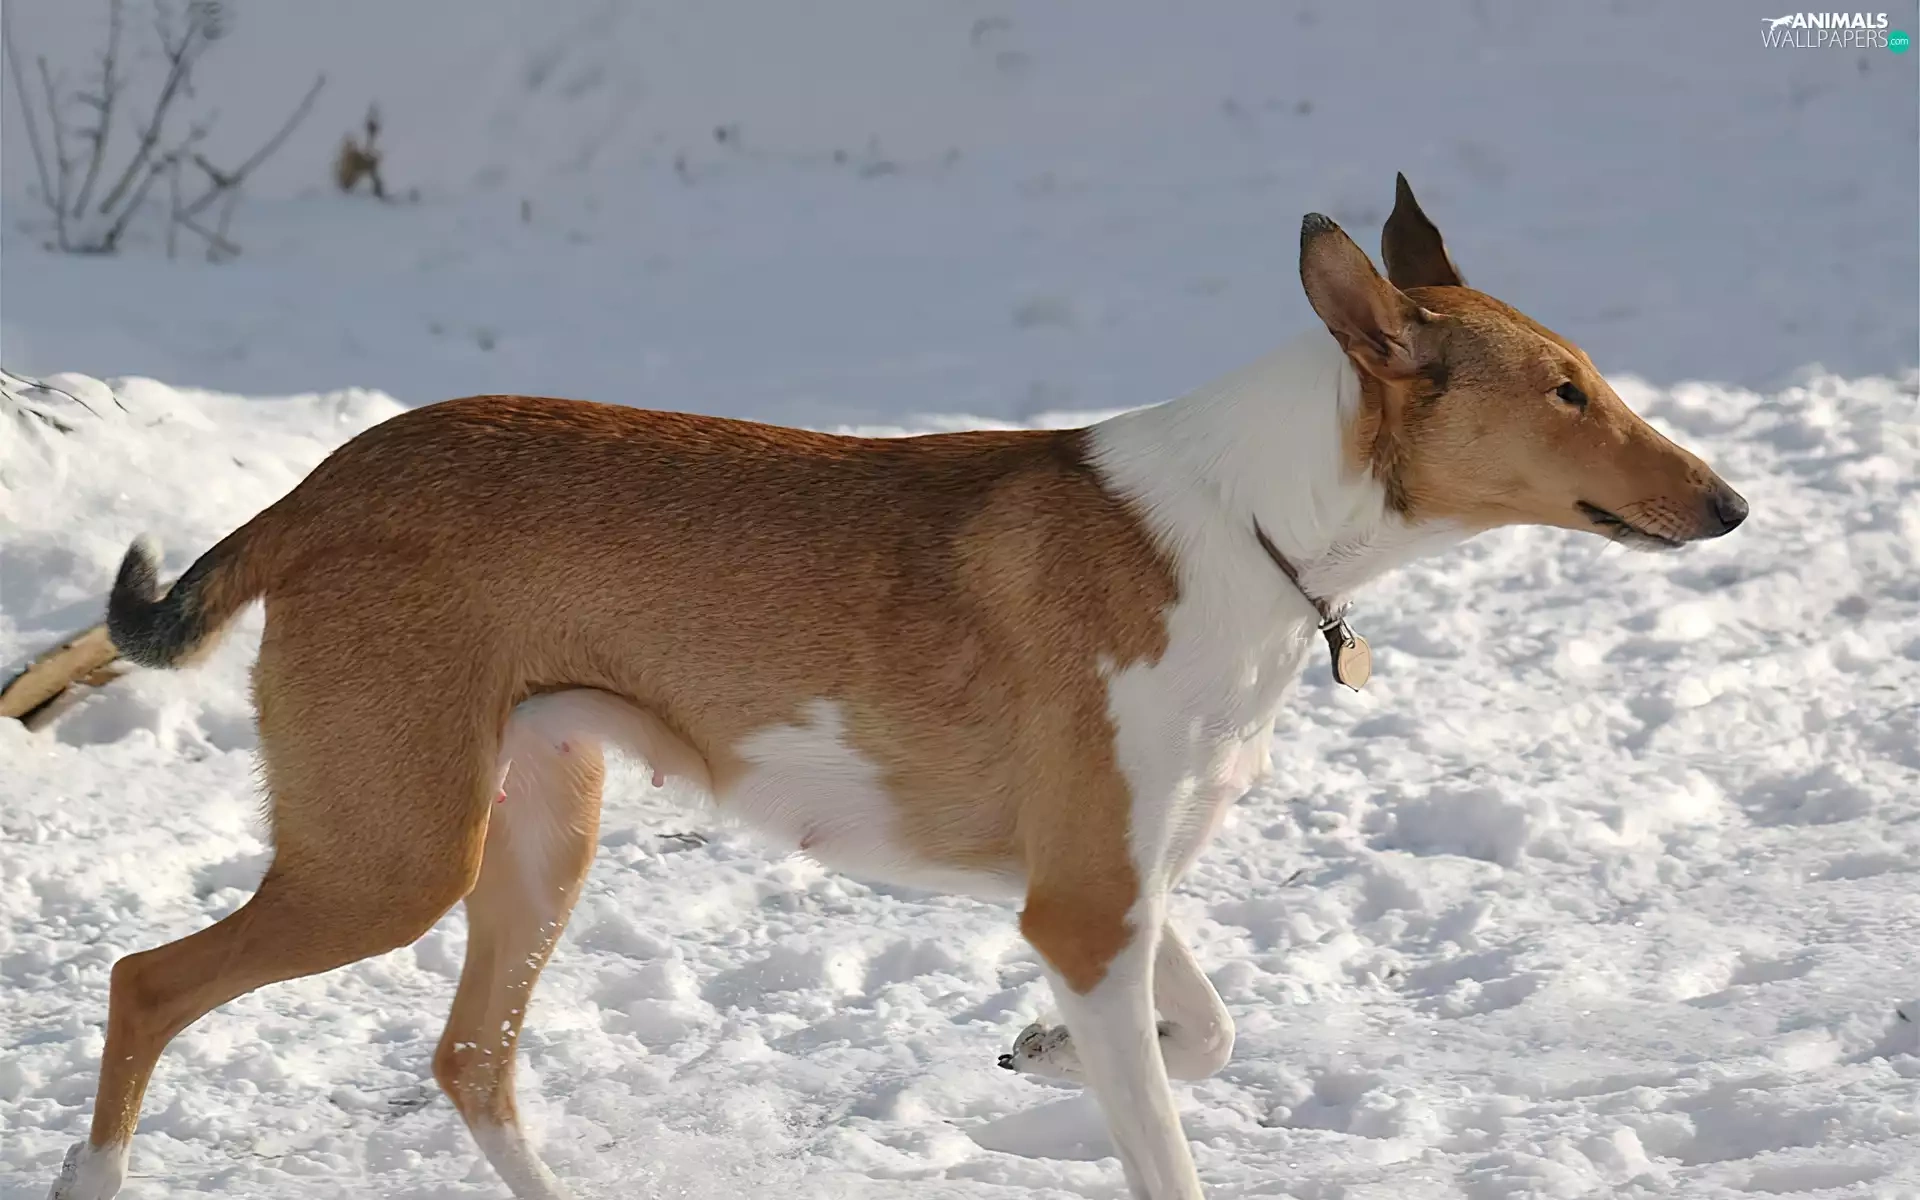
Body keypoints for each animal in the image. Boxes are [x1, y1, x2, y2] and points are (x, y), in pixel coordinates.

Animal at [52, 176, 1745, 1200]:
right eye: (1568, 391)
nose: (1730, 505)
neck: (1256, 523)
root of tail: (321, 482)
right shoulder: (1084, 907)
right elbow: (1170, 1134)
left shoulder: (1111, 885)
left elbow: (1204, 1032)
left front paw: (1039, 1056)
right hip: (393, 856)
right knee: (148, 985)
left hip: (533, 832)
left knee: (471, 1057)